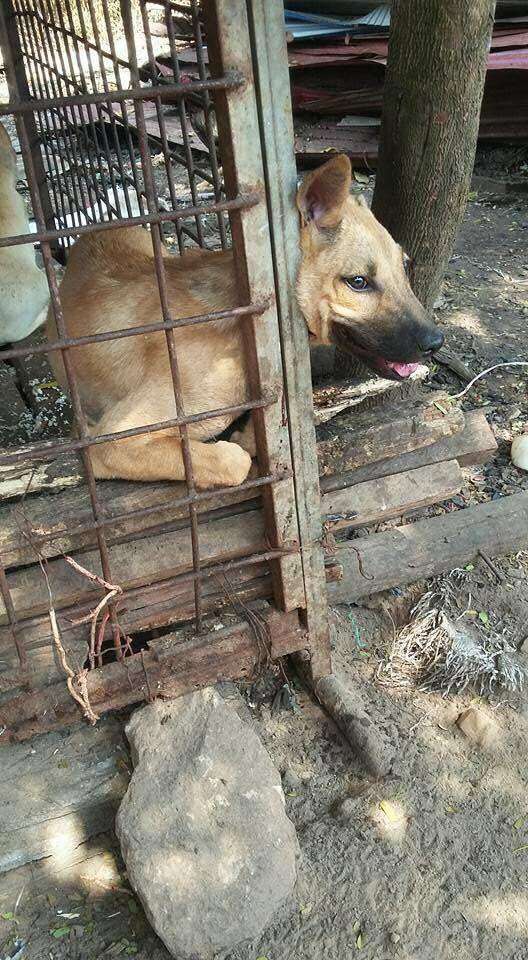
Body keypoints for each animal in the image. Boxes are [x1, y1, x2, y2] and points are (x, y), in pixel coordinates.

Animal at [48, 158, 442, 492]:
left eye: (405, 265)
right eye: (358, 282)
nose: (436, 342)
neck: (246, 330)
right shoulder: (112, 439)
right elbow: (233, 461)